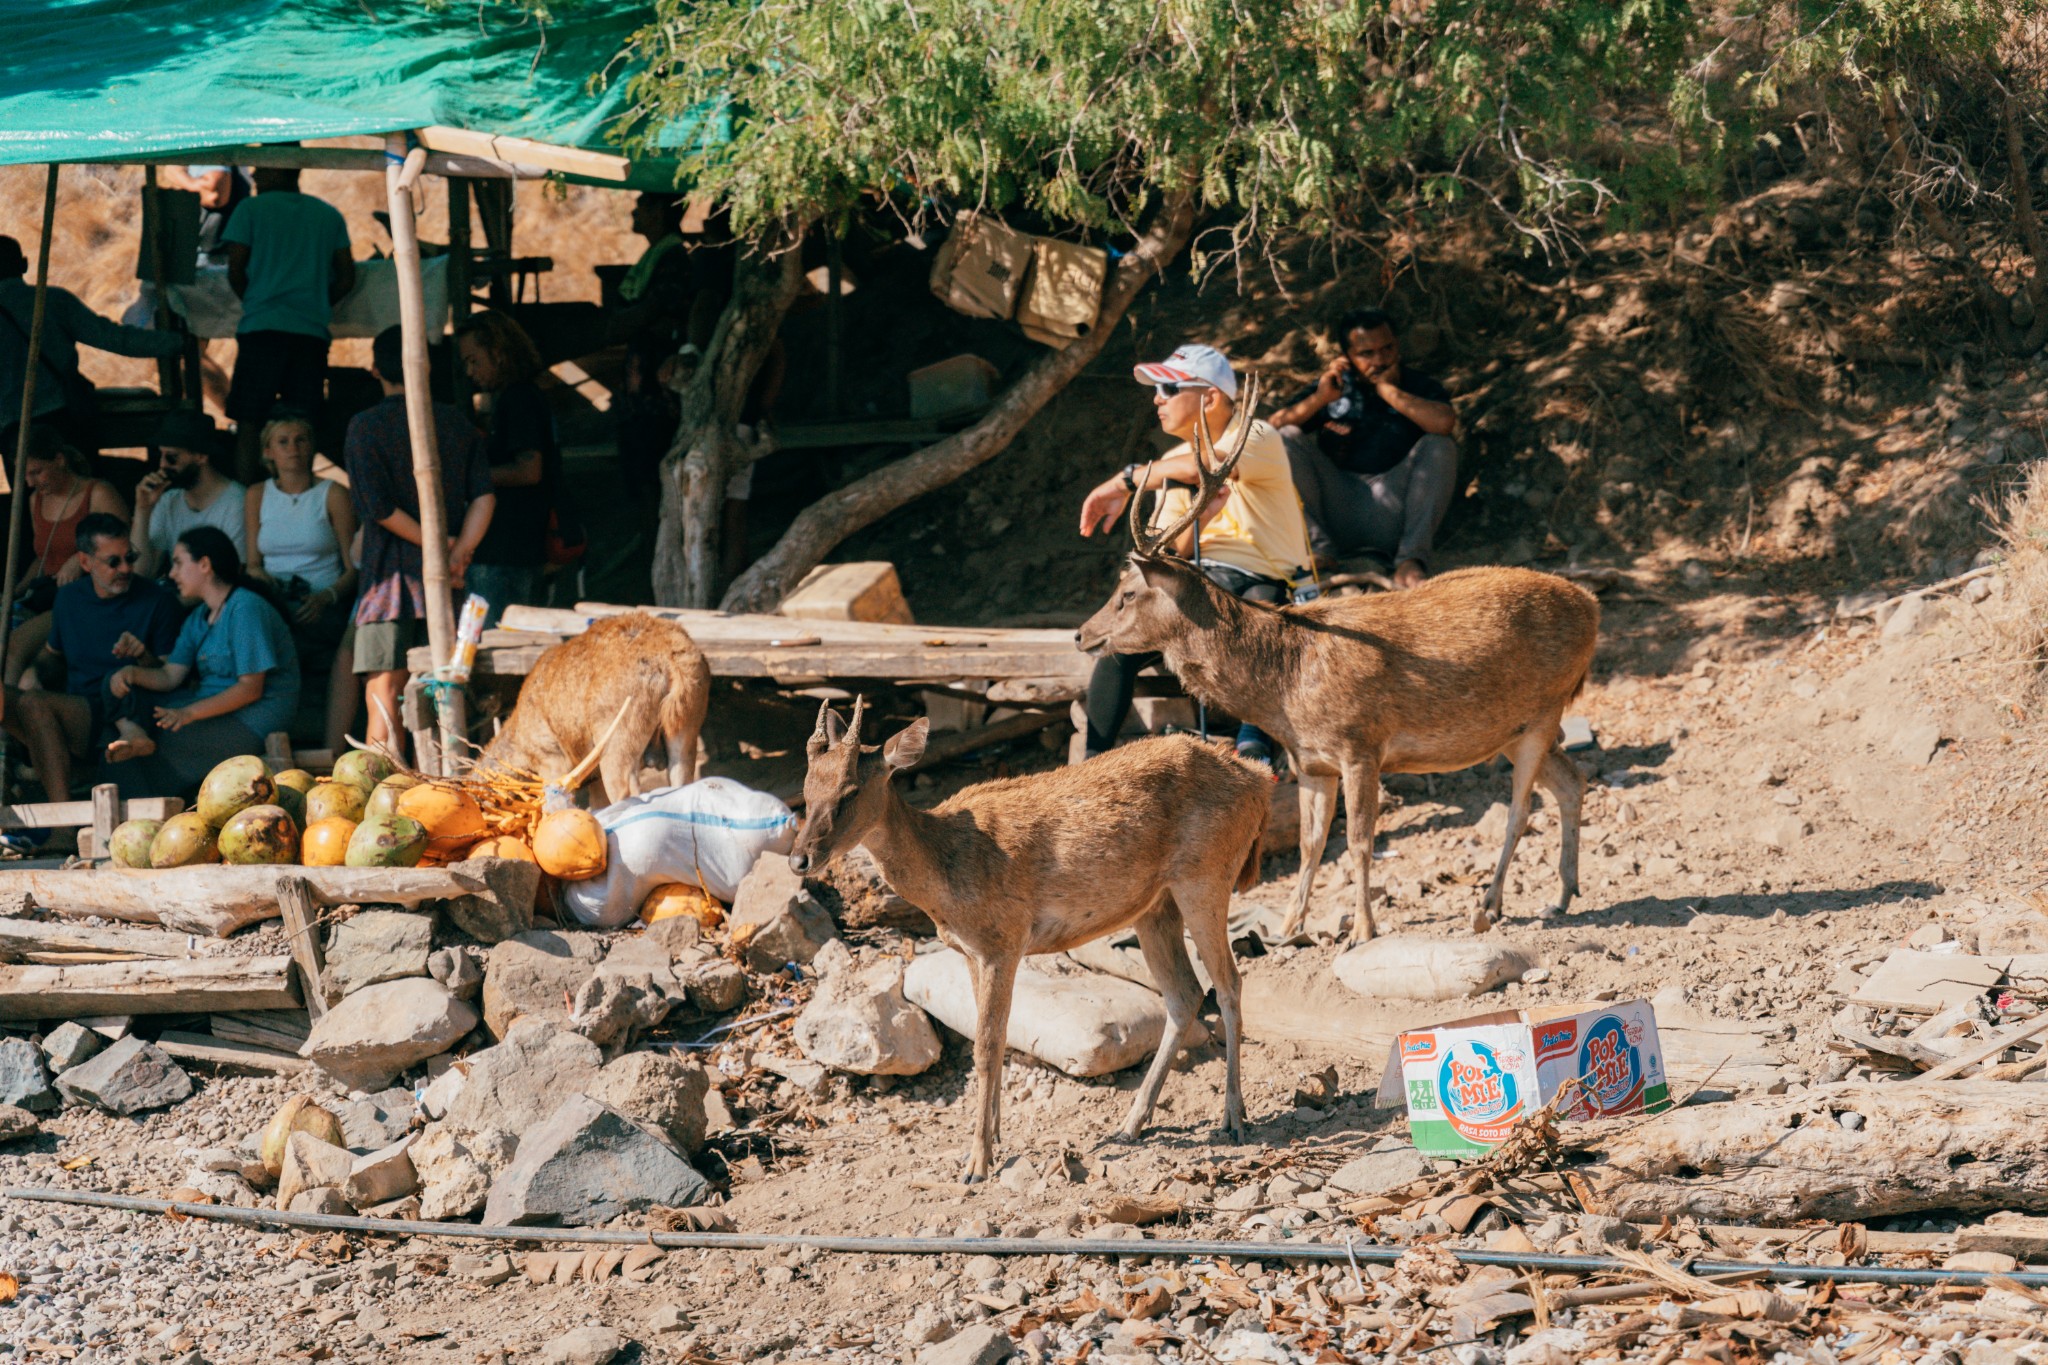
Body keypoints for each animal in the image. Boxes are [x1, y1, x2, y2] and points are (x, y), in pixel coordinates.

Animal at [479, 609, 712, 810]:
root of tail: (671, 657)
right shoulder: (594, 778)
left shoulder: (552, 759)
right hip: (686, 725)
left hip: (617, 735)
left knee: (629, 794)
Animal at [790, 699, 1269, 1178]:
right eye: (807, 790)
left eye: (850, 791)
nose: (799, 859)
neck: (942, 878)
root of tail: (1259, 781)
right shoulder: (971, 950)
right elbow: (998, 1037)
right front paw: (996, 1135)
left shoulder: (1002, 940)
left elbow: (984, 1047)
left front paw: (977, 1162)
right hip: (1154, 905)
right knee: (1185, 994)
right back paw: (1131, 1124)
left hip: (1206, 876)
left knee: (1229, 984)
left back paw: (1233, 1117)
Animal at [1073, 401, 1597, 945]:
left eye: (1128, 593)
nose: (1082, 634)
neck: (1284, 689)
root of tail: (1593, 605)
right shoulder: (1311, 761)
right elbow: (1311, 844)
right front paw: (1288, 926)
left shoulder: (1361, 743)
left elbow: (1359, 841)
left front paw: (1363, 928)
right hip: (1512, 727)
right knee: (1571, 781)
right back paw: (1563, 894)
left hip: (1545, 708)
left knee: (1521, 807)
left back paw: (1491, 904)